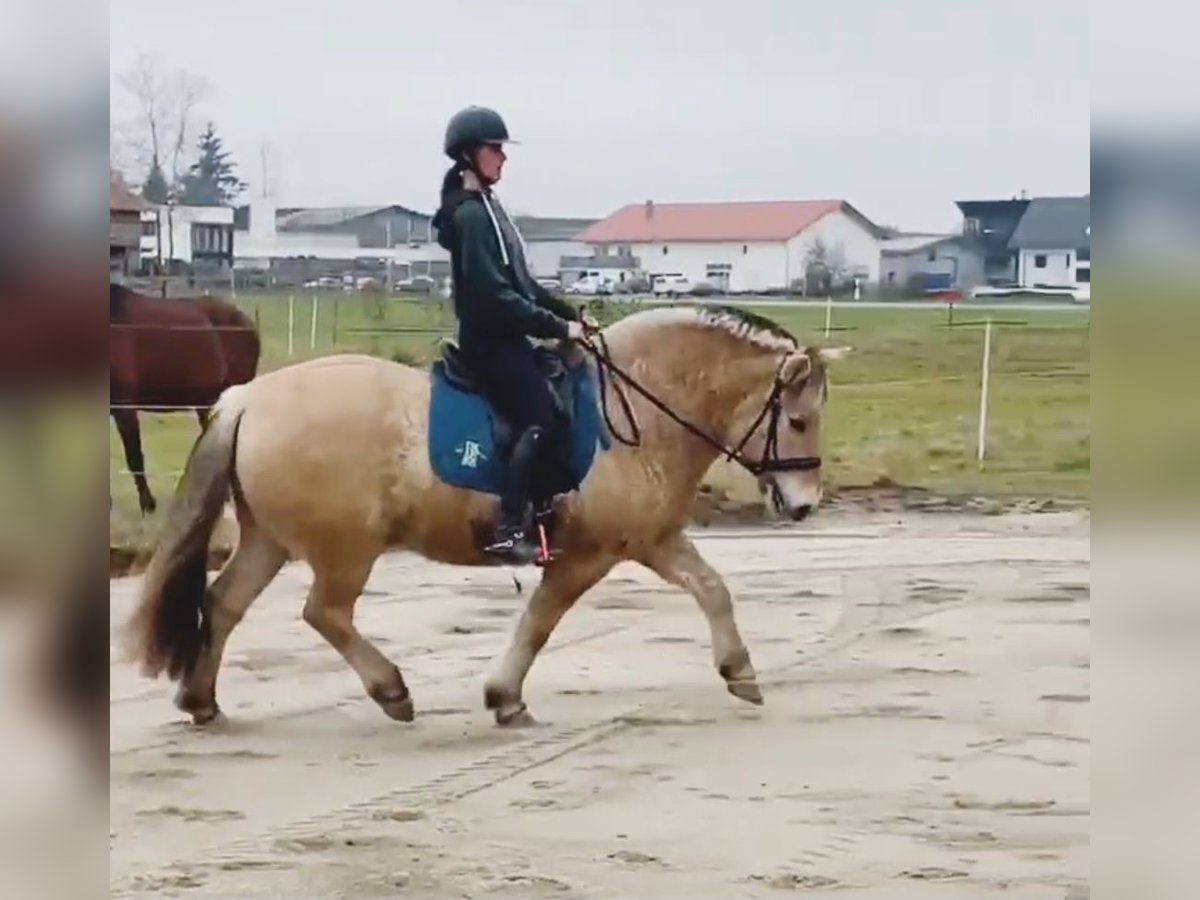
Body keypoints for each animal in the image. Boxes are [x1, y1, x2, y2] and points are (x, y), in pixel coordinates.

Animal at [126, 307, 849, 729]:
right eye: (798, 420)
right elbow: (540, 622)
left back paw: (202, 701)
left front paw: (741, 674)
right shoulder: (588, 554)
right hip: (345, 547)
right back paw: (392, 692)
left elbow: (712, 588)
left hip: (271, 539)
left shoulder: (651, 538)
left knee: (224, 603)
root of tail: (247, 398)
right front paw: (505, 697)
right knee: (323, 613)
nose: (804, 505)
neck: (633, 410)